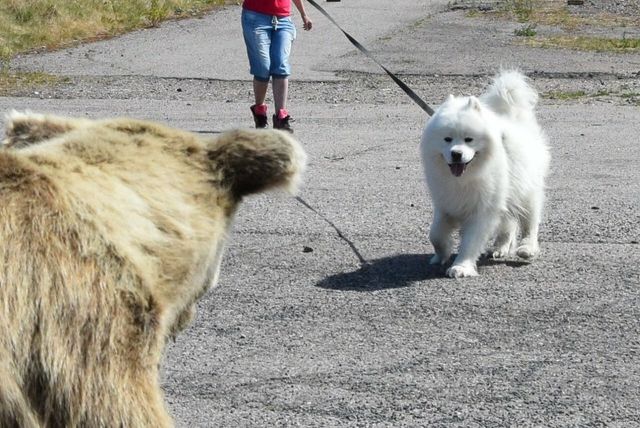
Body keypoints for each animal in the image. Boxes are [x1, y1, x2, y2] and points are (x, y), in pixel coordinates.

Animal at [420, 70, 552, 278]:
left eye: (469, 139)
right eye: (447, 139)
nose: (456, 154)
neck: (464, 179)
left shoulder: (482, 210)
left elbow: (471, 241)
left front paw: (461, 267)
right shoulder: (445, 205)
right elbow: (435, 234)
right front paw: (441, 255)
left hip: (526, 194)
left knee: (529, 224)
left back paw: (527, 249)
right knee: (508, 225)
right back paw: (500, 248)